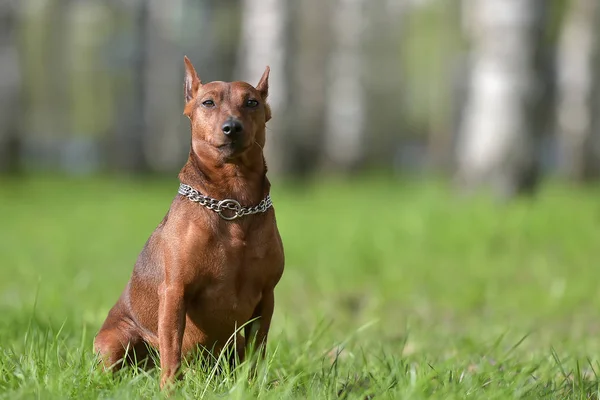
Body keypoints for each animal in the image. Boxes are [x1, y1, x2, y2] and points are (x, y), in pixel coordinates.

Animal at [94, 56, 286, 388]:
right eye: (208, 102)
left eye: (252, 102)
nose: (232, 127)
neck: (233, 203)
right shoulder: (175, 292)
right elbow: (171, 351)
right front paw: (169, 389)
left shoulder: (266, 297)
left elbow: (256, 353)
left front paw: (252, 387)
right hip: (115, 341)